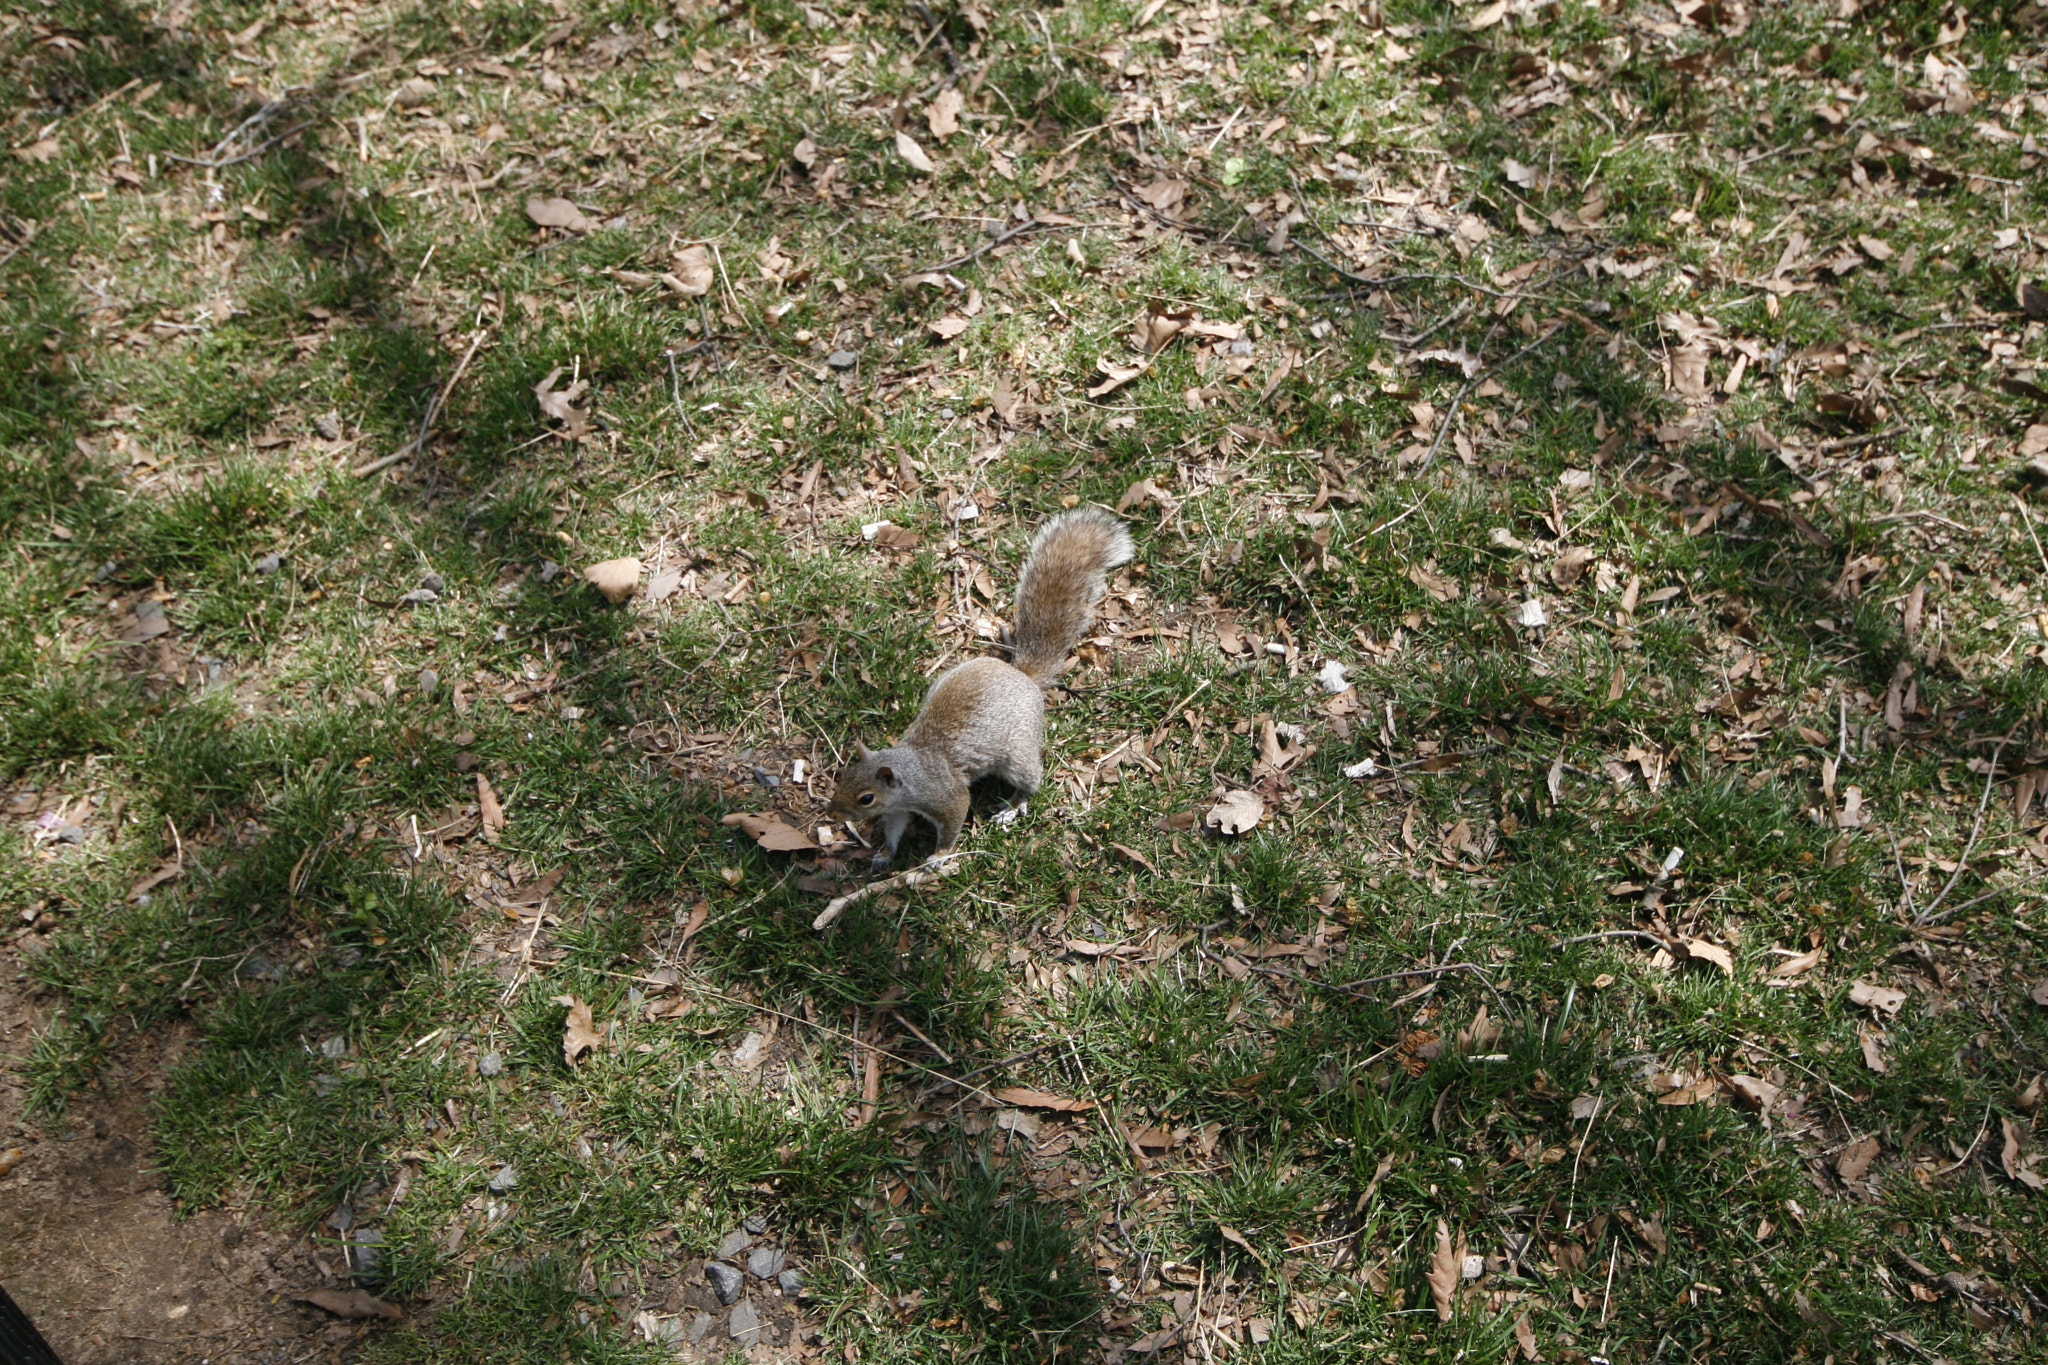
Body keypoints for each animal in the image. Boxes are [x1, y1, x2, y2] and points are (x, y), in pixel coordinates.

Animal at [828, 508, 1134, 871]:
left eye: (866, 798)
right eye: (843, 777)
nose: (832, 813)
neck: (912, 769)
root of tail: (1021, 675)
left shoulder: (947, 796)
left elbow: (952, 822)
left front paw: (939, 855)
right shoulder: (900, 808)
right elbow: (893, 829)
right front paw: (885, 854)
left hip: (1017, 754)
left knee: (1031, 781)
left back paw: (1013, 806)